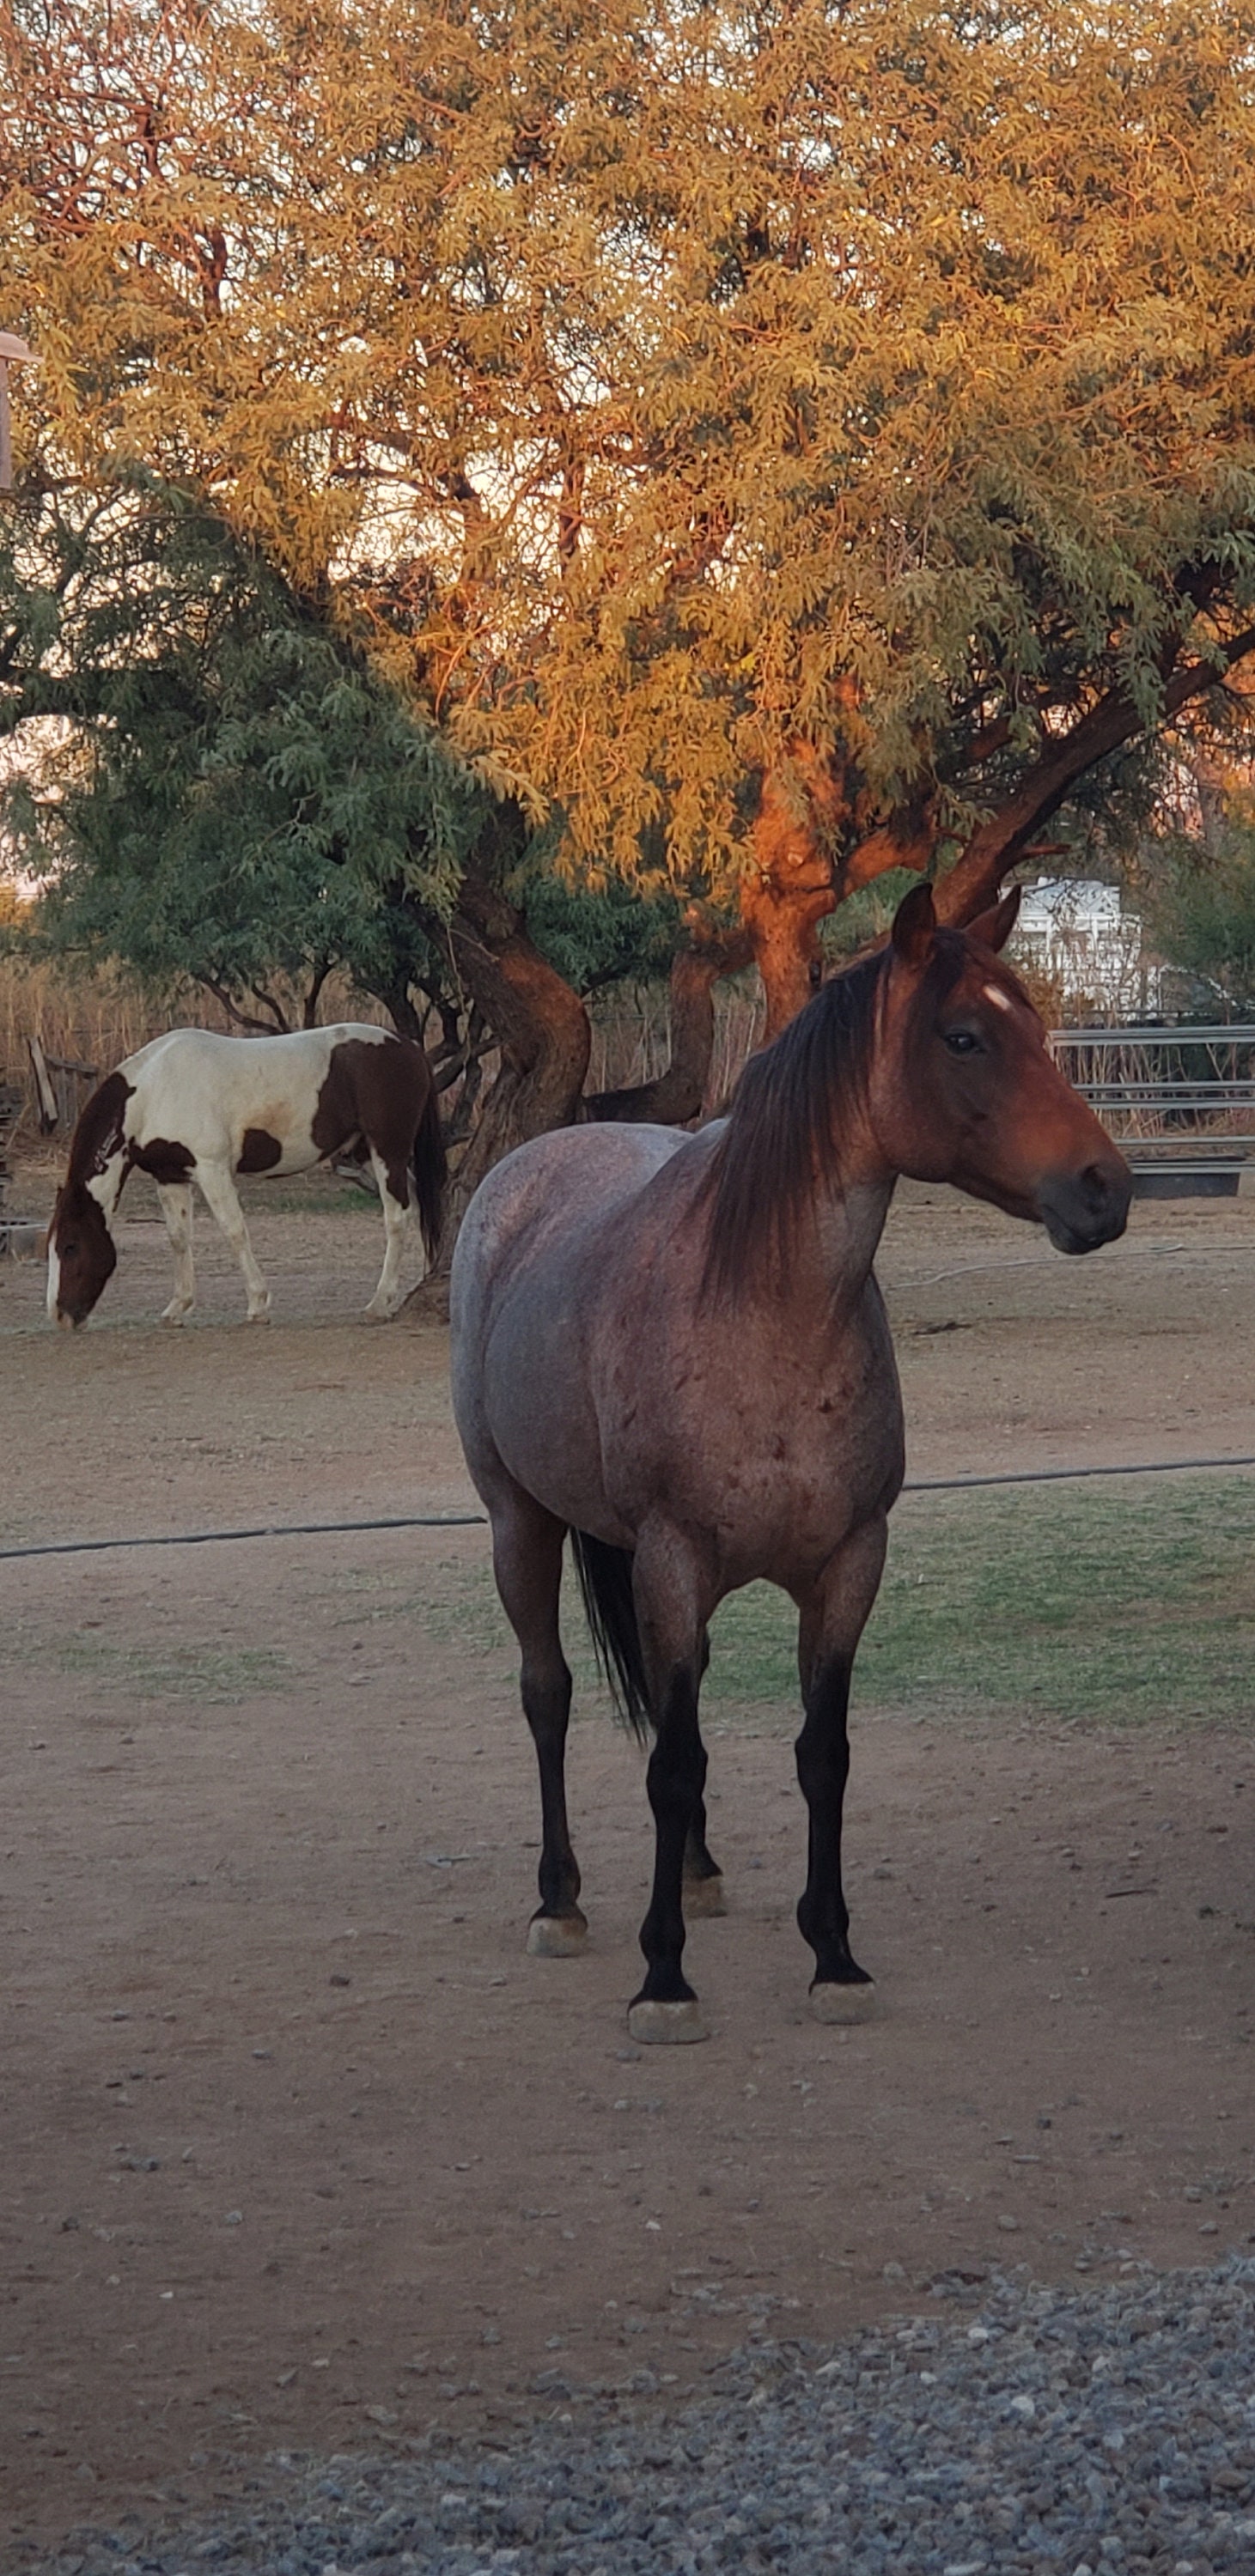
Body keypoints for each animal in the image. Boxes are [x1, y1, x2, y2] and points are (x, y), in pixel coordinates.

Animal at [47, 1023, 445, 1328]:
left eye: (70, 1245)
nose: (61, 1315)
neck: (153, 1091)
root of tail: (408, 1047)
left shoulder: (212, 1168)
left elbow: (234, 1231)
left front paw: (257, 1304)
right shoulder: (171, 1176)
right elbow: (178, 1238)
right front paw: (177, 1307)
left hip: (387, 1152)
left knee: (396, 1216)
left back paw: (379, 1303)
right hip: (368, 1155)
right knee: (416, 1206)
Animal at [450, 883, 1132, 2042]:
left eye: (1040, 1029)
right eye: (964, 1036)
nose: (1107, 1189)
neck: (770, 1317)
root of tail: (523, 1172)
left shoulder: (850, 1564)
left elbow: (820, 1754)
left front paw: (834, 1956)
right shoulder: (673, 1560)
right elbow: (671, 1762)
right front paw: (664, 1979)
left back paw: (695, 1874)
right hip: (520, 1527)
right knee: (549, 1695)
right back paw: (561, 1902)